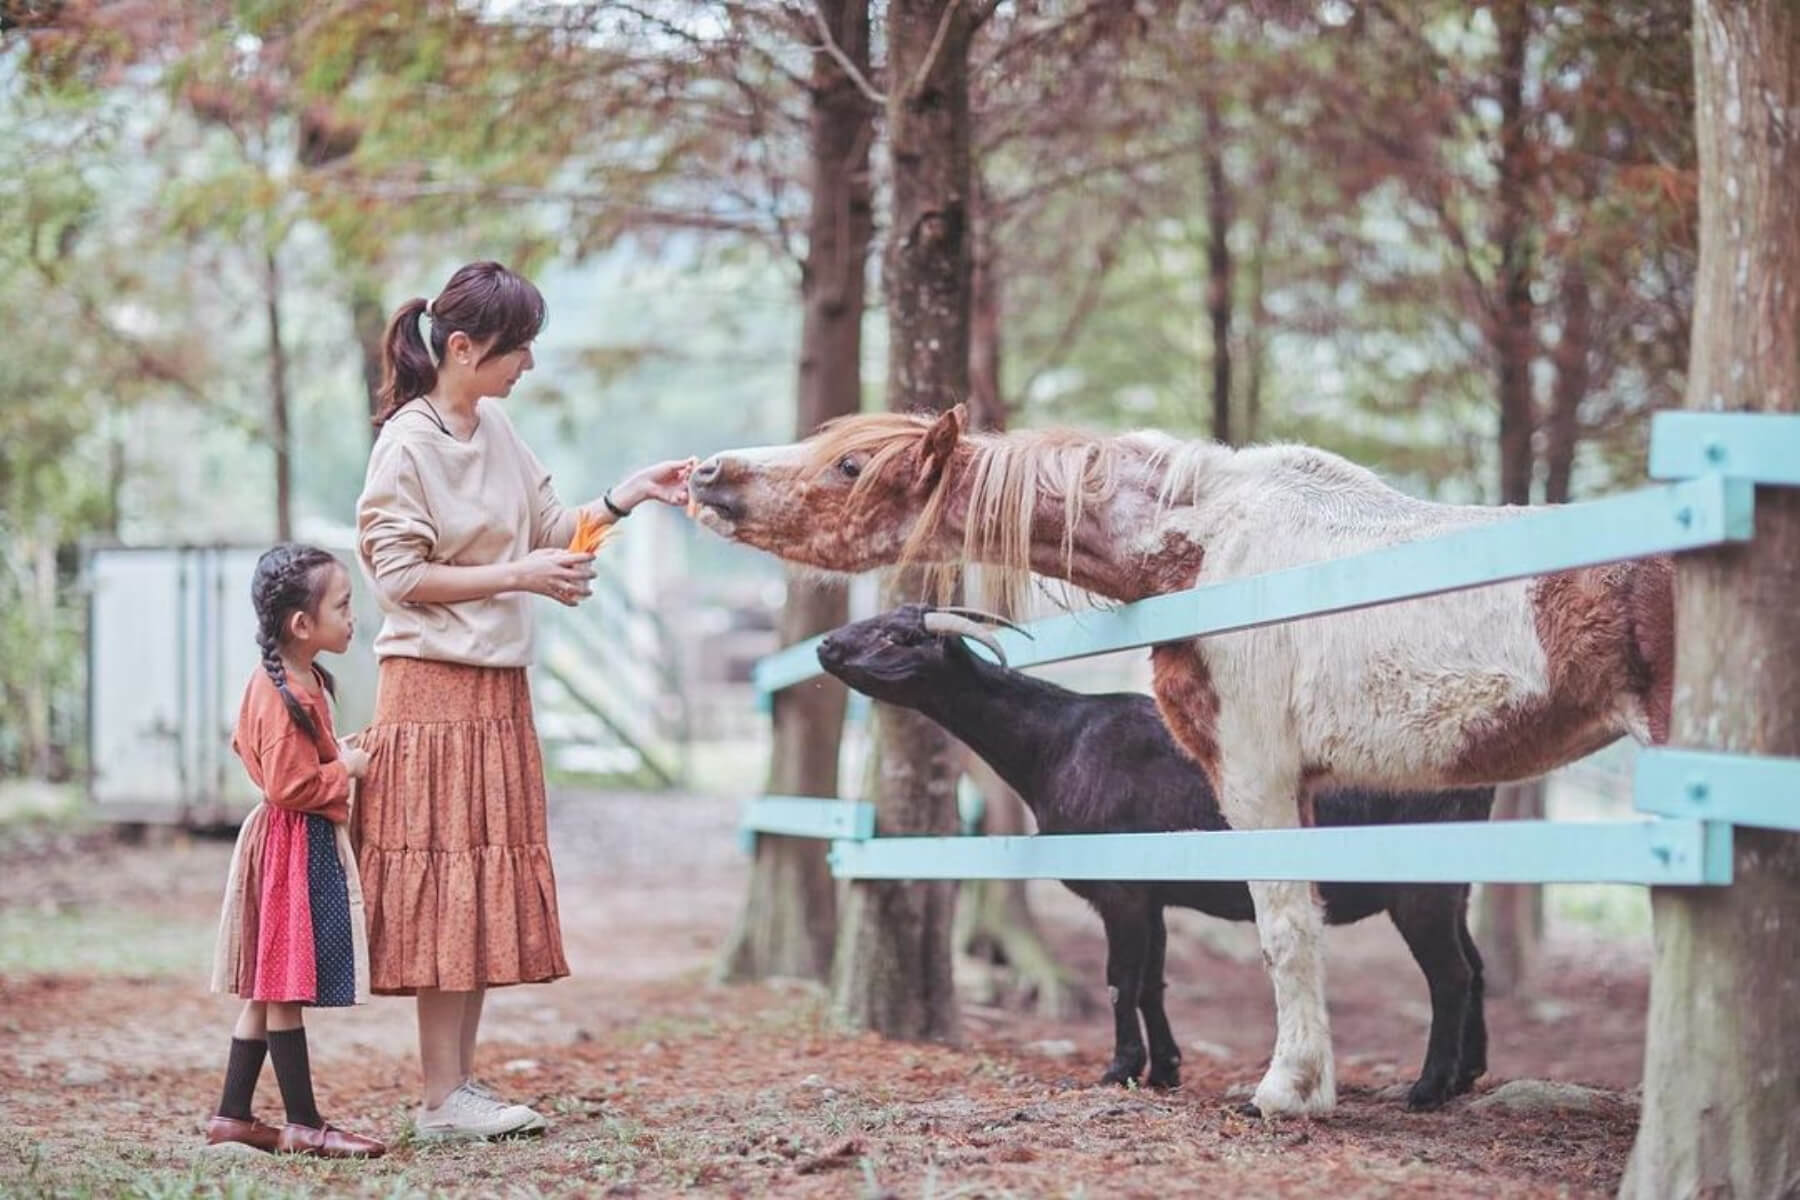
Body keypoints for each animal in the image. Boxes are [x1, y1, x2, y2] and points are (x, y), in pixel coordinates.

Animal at [817, 604, 1490, 1115]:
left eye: (900, 637)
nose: (826, 645)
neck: (1057, 743)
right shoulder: (1153, 891)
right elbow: (1151, 983)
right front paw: (1165, 1069)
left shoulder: (1119, 889)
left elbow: (1120, 980)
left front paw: (1119, 1068)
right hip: (1455, 889)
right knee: (1477, 967)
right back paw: (1467, 1075)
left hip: (1418, 889)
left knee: (1450, 975)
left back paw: (1428, 1089)